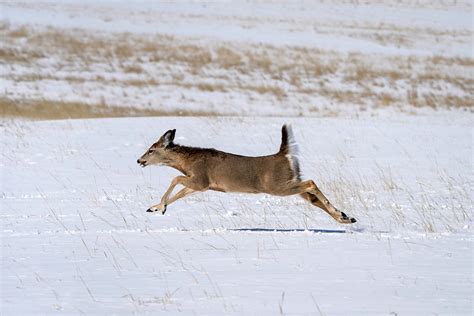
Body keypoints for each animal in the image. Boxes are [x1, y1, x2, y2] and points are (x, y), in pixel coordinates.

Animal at [136, 124, 356, 223]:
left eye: (151, 150)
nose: (139, 160)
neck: (187, 162)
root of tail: (283, 154)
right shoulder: (201, 186)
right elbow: (181, 192)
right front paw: (156, 208)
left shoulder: (201, 179)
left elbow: (175, 179)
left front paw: (159, 207)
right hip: (290, 182)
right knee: (312, 197)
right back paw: (345, 217)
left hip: (277, 186)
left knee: (311, 182)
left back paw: (341, 215)